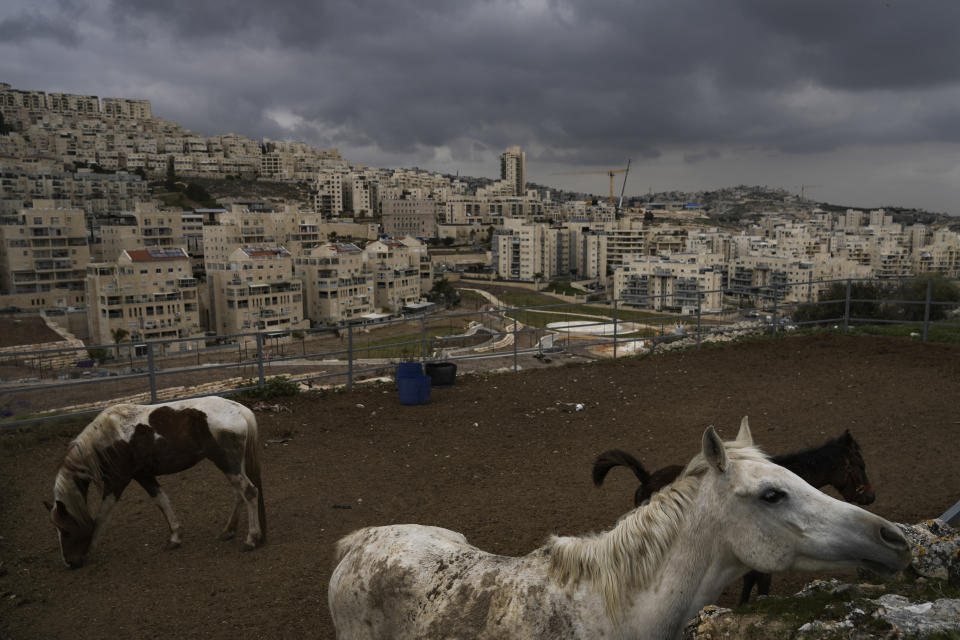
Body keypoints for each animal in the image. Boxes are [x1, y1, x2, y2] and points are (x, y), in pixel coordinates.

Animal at [43, 396, 264, 568]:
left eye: (66, 531)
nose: (69, 563)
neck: (106, 439)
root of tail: (239, 409)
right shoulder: (143, 475)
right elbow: (161, 501)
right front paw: (175, 537)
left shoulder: (117, 481)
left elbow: (101, 515)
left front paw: (90, 547)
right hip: (232, 465)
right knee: (239, 494)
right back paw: (228, 531)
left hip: (227, 463)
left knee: (249, 492)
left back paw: (251, 539)